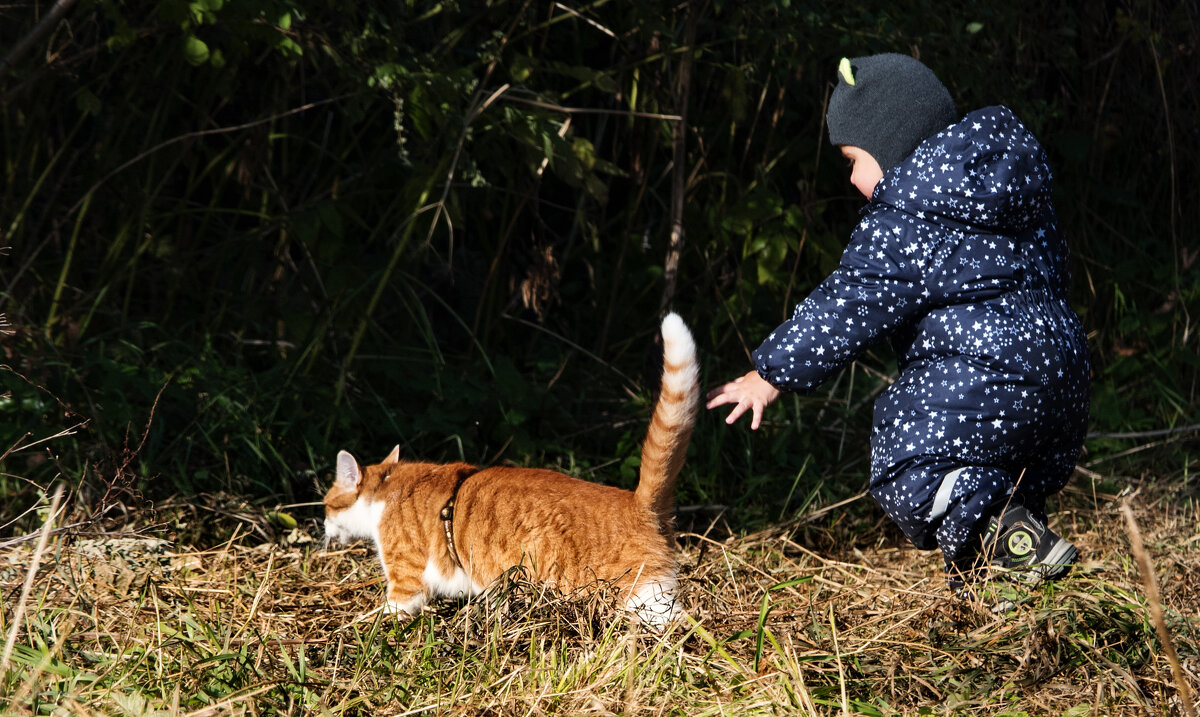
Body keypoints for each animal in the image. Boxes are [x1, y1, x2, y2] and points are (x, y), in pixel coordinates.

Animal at [326, 314, 700, 623]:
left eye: (327, 505)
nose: (324, 529)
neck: (389, 488)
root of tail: (637, 502)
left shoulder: (405, 578)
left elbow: (391, 610)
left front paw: (363, 626)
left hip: (641, 597)